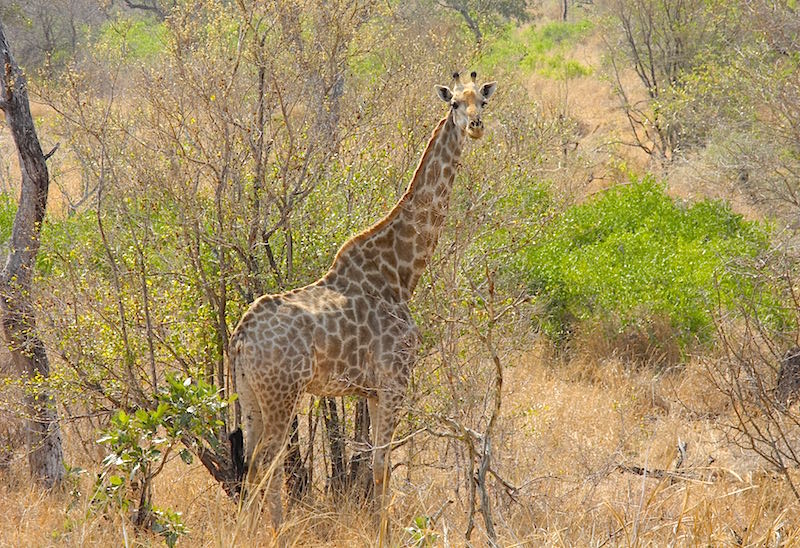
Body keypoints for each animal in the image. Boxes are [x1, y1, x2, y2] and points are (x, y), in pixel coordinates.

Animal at [228, 71, 496, 528]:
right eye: (454, 104)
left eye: (483, 100)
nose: (476, 126)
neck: (402, 273)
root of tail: (241, 337)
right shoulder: (395, 380)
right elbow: (381, 467)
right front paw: (381, 533)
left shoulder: (369, 391)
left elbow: (372, 463)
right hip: (283, 393)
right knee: (265, 463)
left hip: (249, 396)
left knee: (255, 465)